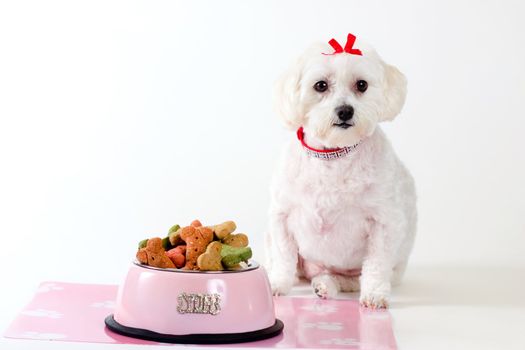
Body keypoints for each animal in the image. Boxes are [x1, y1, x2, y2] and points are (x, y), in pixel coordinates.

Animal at [268, 34, 416, 308]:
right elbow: (282, 257)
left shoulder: (384, 223)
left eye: (362, 85)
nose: (345, 110)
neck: (334, 155)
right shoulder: (281, 217)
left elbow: (376, 264)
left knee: (346, 279)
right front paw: (275, 284)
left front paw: (375, 295)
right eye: (320, 85)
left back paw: (326, 285)